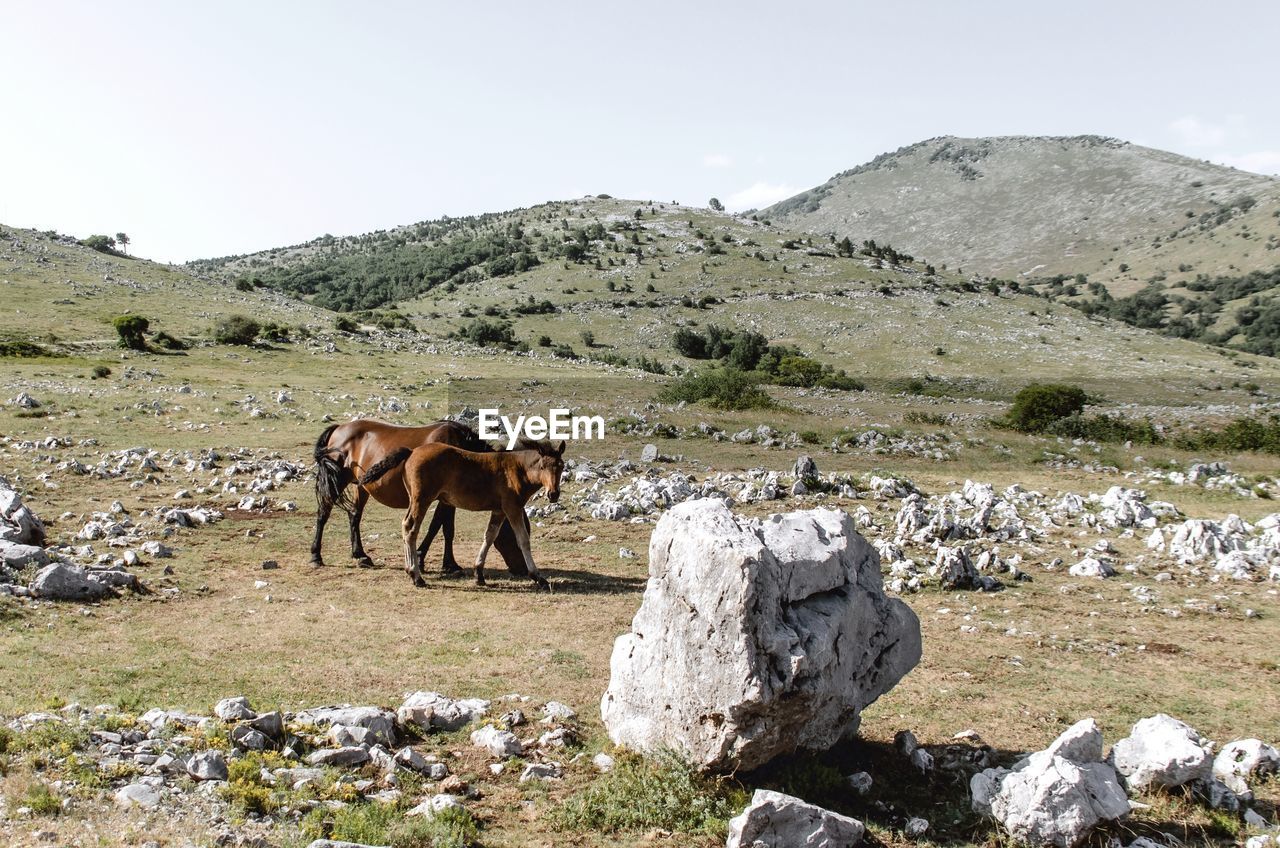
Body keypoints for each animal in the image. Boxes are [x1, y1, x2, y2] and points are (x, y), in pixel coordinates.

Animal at [312, 417, 527, 578]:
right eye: (516, 535)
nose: (523, 569)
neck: (462, 452)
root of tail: (338, 428)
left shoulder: (447, 499)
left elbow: (444, 528)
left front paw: (444, 563)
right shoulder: (443, 499)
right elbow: (440, 527)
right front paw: (432, 560)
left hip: (361, 486)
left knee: (354, 515)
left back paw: (360, 555)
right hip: (338, 481)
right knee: (324, 512)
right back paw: (316, 555)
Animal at [358, 438, 563, 591]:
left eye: (560, 466)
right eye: (543, 467)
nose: (553, 494)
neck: (517, 470)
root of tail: (411, 452)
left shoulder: (498, 510)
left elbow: (489, 536)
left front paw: (479, 574)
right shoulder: (512, 508)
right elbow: (523, 540)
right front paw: (538, 577)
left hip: (415, 500)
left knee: (406, 526)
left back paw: (411, 571)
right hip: (422, 499)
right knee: (410, 528)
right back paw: (416, 576)